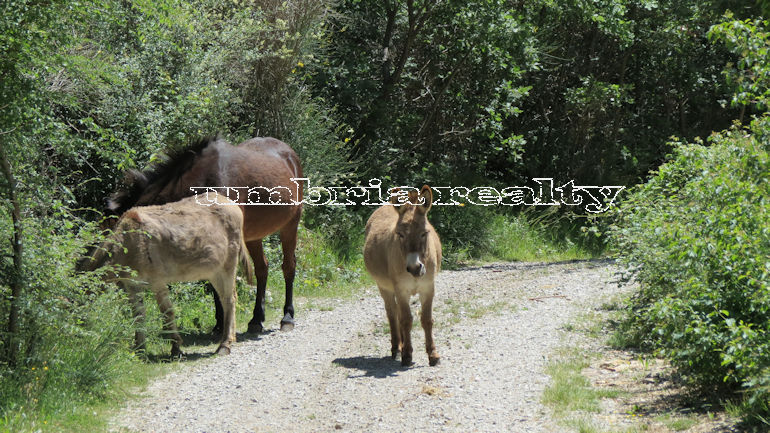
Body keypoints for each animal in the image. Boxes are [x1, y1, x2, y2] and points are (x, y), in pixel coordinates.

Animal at [106, 137, 304, 332]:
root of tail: (290, 154)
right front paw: (219, 323)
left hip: (290, 225)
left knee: (288, 267)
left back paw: (287, 317)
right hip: (254, 236)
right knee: (262, 269)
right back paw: (256, 319)